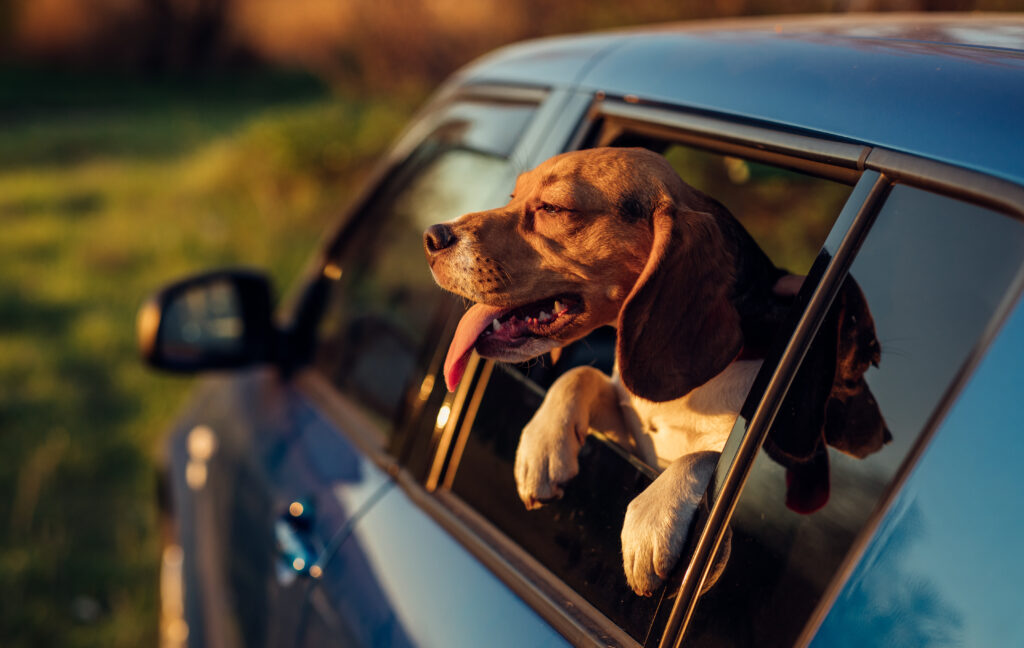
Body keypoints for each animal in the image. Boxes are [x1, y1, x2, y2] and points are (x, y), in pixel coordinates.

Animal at [419, 146, 884, 597]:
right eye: (514, 197)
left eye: (553, 207)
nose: (432, 237)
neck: (686, 399)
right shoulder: (631, 428)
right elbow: (580, 376)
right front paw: (543, 445)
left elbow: (709, 454)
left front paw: (655, 516)